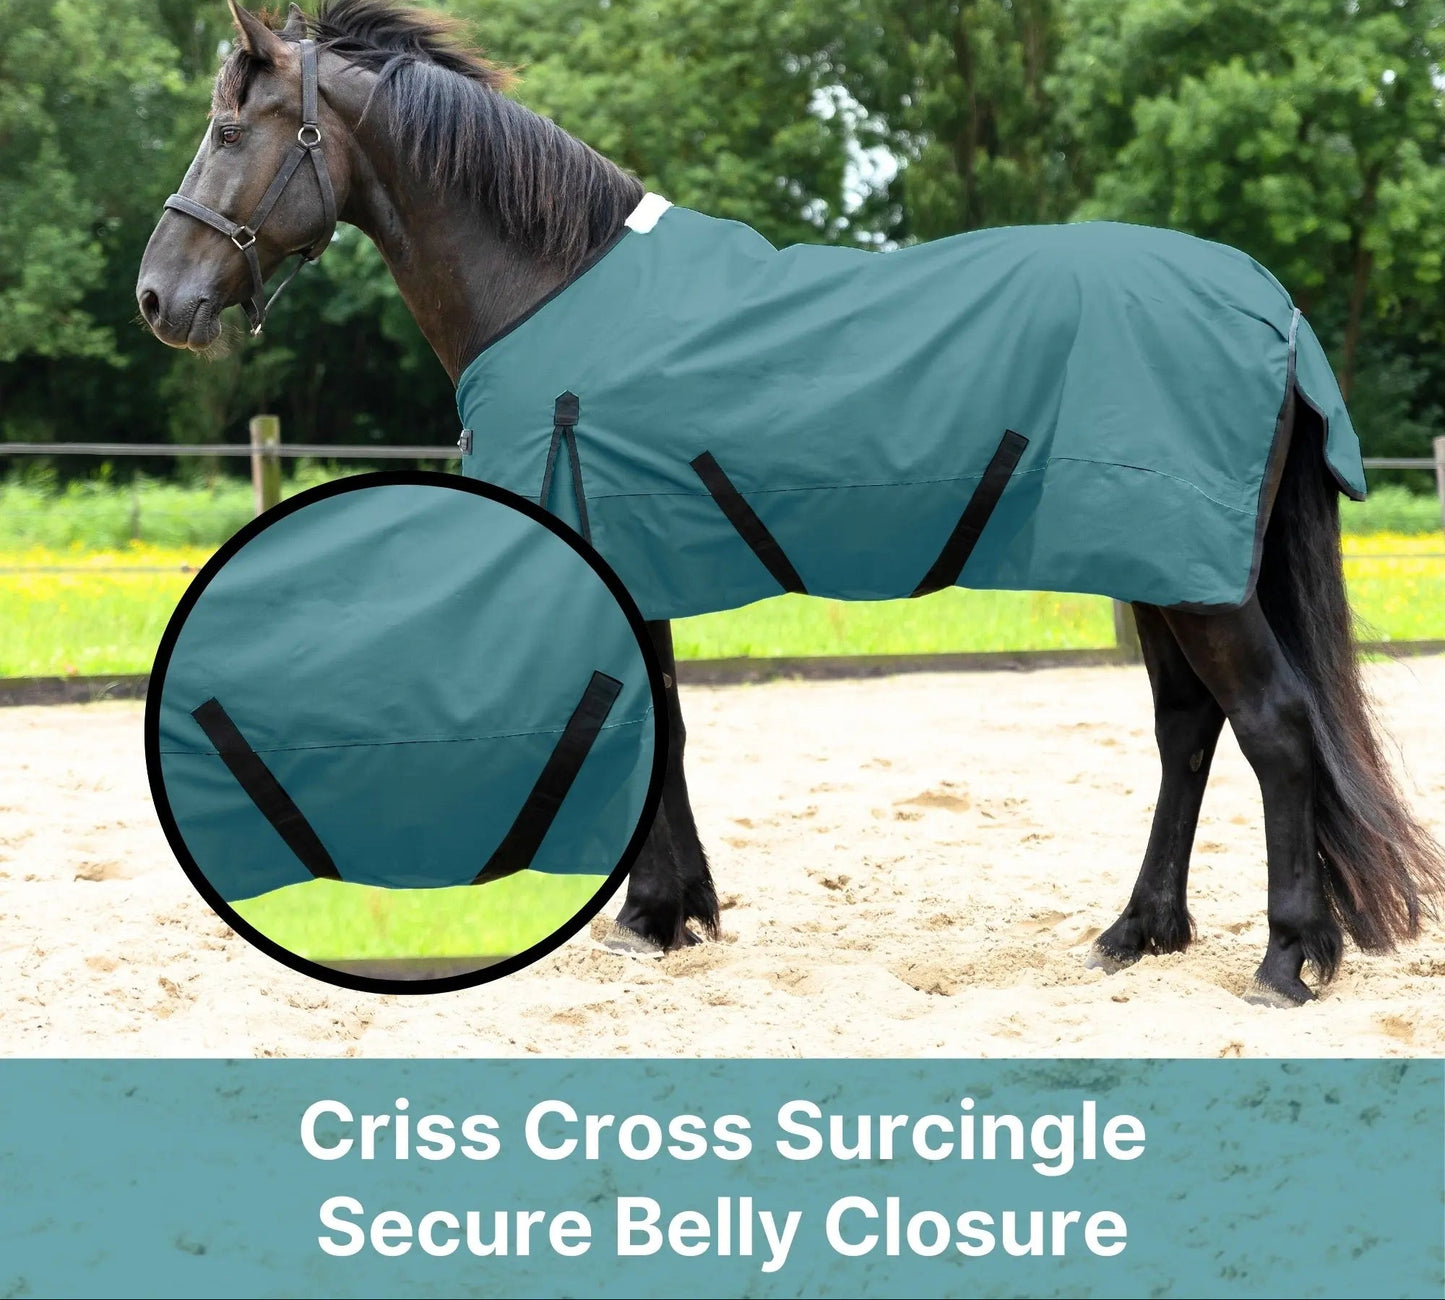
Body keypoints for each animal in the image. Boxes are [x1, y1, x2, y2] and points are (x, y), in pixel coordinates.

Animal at [136, 0, 1444, 1006]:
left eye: (226, 129)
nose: (158, 297)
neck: (551, 286)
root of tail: (1268, 304)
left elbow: (647, 722)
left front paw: (650, 917)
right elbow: (661, 718)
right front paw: (676, 912)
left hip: (1192, 575)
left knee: (1272, 725)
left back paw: (1286, 959)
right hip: (1161, 566)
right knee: (1188, 731)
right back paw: (1135, 935)